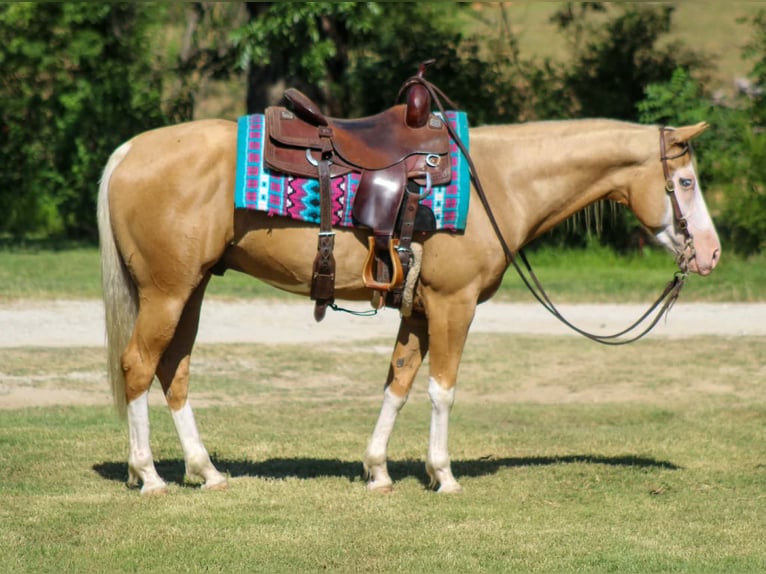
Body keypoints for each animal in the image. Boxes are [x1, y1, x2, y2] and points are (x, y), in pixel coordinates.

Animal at [97, 116, 720, 494]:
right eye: (686, 181)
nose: (711, 253)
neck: (498, 182)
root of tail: (129, 150)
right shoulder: (453, 306)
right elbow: (442, 389)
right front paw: (443, 475)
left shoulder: (418, 310)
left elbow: (397, 382)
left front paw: (377, 470)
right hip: (168, 292)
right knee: (138, 366)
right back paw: (148, 475)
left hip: (191, 290)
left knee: (173, 371)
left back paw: (206, 470)